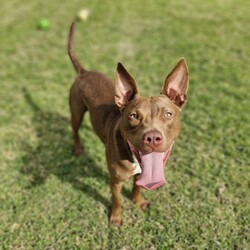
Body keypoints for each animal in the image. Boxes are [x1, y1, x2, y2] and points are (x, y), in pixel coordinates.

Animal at [67, 23, 188, 227]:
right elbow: (117, 200)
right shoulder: (115, 181)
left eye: (168, 114)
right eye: (133, 116)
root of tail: (84, 72)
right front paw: (115, 218)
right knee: (75, 131)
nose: (152, 138)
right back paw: (77, 149)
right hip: (76, 112)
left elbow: (137, 188)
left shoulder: (140, 175)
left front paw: (138, 201)